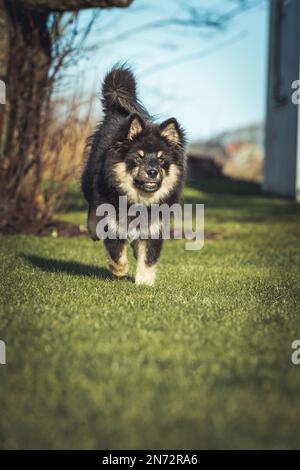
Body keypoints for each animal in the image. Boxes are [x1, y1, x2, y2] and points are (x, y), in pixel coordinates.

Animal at [81, 65, 186, 286]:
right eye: (138, 158)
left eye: (161, 160)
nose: (152, 172)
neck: (138, 201)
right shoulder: (112, 219)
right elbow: (116, 252)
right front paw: (120, 270)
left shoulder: (154, 225)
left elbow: (148, 257)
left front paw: (144, 283)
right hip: (88, 183)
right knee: (92, 210)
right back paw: (93, 230)